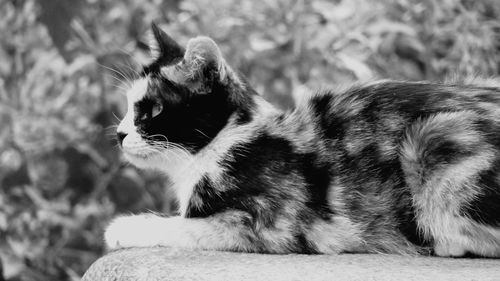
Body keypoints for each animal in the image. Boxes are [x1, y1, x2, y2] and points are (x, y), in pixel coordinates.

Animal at [102, 23, 500, 256]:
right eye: (129, 106)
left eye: (153, 109)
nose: (120, 133)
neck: (226, 143)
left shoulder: (266, 225)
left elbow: (183, 225)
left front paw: (123, 227)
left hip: (432, 138)